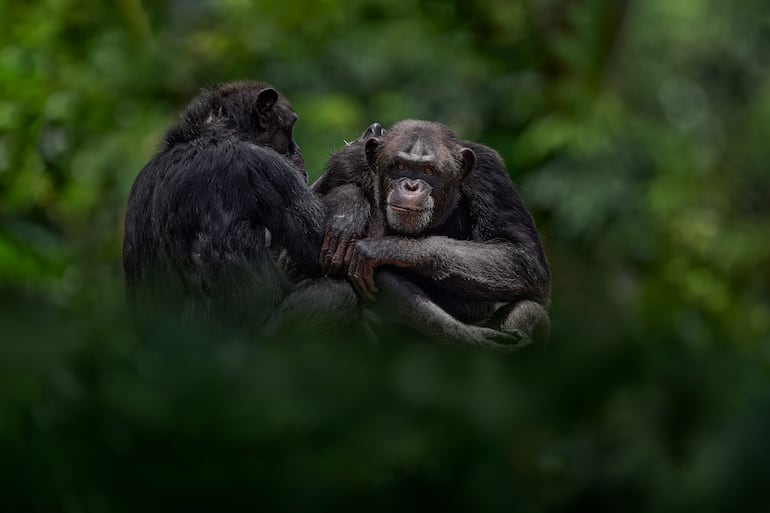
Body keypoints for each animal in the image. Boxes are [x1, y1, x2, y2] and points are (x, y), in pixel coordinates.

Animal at [121, 81, 362, 336]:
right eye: (289, 128)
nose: (297, 149)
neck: (207, 135)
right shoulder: (262, 165)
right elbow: (315, 243)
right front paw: (351, 184)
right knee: (335, 296)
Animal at [316, 120, 548, 352]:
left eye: (428, 170)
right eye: (400, 167)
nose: (411, 186)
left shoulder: (489, 175)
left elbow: (520, 253)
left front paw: (384, 248)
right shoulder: (346, 161)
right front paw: (347, 209)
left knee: (528, 312)